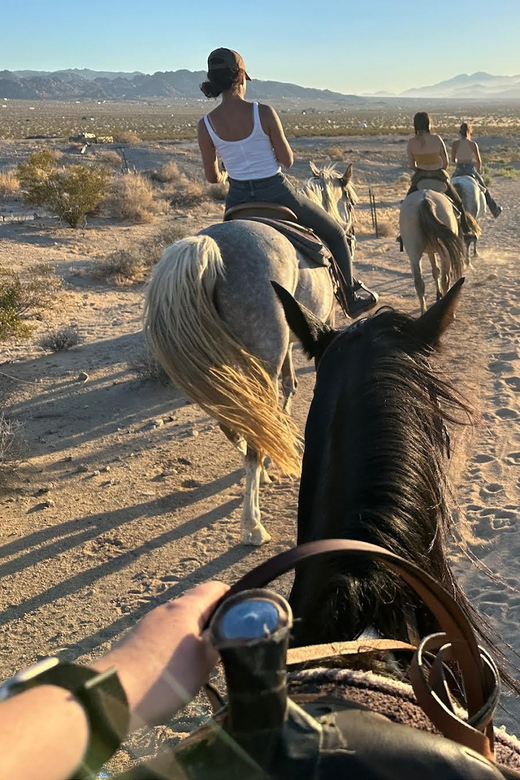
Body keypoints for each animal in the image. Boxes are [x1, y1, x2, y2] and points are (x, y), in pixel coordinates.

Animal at [145, 163, 358, 548]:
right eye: (350, 200)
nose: (352, 236)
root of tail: (211, 248)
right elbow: (291, 389)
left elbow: (287, 390)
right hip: (261, 356)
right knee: (251, 427)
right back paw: (253, 523)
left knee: (234, 418)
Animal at [400, 184, 466, 314]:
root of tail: (424, 200)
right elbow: (439, 272)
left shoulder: (430, 252)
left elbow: (435, 271)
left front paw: (438, 295)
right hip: (445, 253)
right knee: (445, 278)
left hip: (414, 254)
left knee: (419, 283)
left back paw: (423, 311)